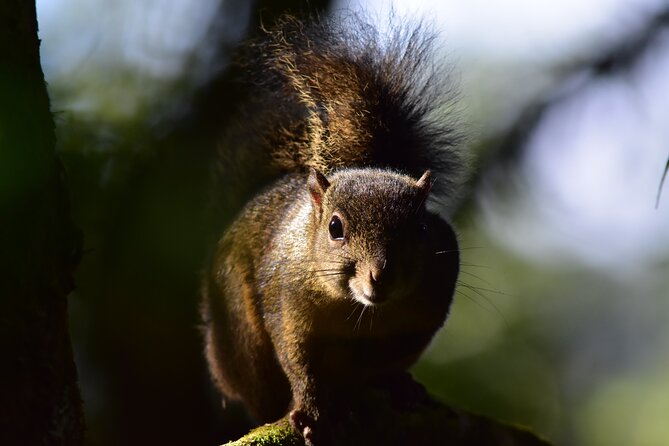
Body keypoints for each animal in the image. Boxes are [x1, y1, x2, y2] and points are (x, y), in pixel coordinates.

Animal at [200, 12, 464, 444]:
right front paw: (311, 408)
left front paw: (396, 381)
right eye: (335, 228)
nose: (379, 276)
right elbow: (299, 361)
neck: (362, 311)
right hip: (238, 335)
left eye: (421, 230)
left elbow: (398, 356)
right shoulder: (288, 305)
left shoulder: (430, 304)